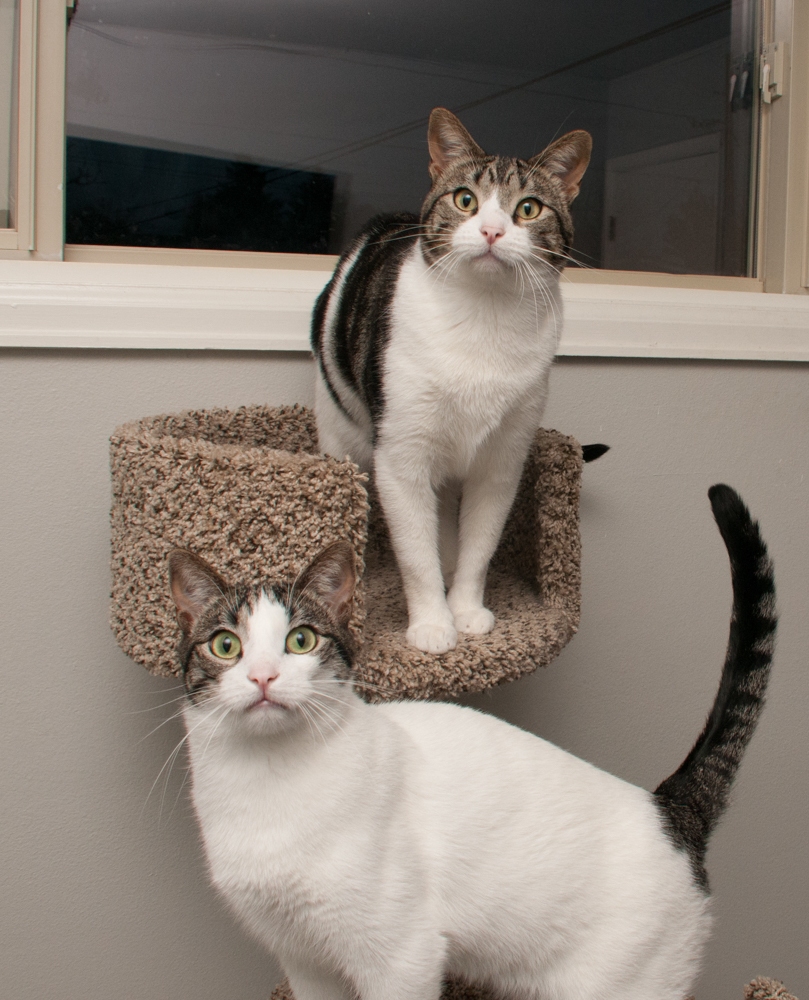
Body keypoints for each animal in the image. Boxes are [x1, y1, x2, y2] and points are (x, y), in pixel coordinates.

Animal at [312, 109, 592, 656]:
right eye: (465, 199)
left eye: (528, 209)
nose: (490, 231)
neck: (483, 318)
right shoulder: (401, 458)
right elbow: (414, 555)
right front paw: (431, 623)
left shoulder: (502, 461)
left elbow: (479, 546)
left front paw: (464, 609)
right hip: (340, 428)